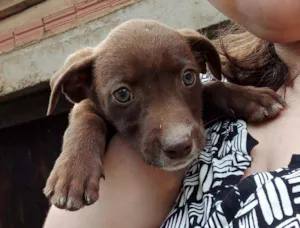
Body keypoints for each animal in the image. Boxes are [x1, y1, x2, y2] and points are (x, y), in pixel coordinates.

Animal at [43, 19, 284, 210]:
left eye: (188, 77)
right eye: (122, 94)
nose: (179, 147)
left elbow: (212, 88)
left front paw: (252, 97)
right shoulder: (87, 105)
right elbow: (86, 117)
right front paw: (73, 171)